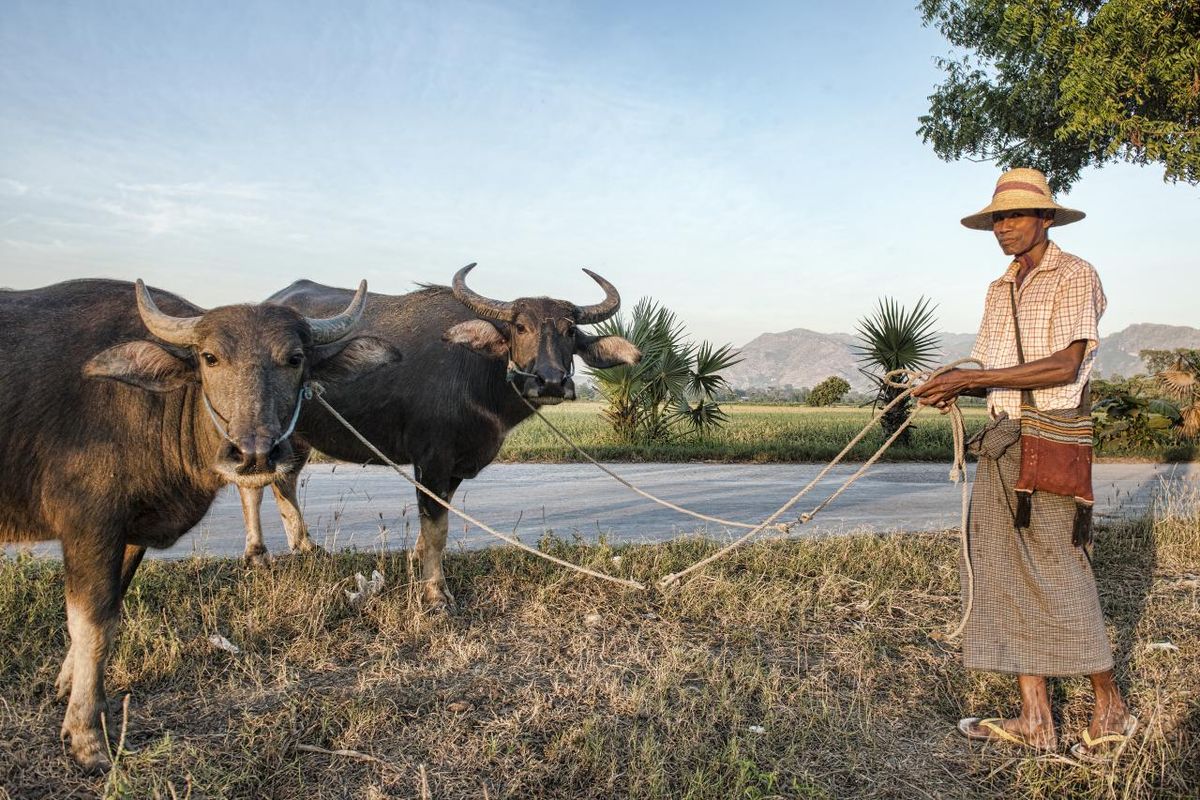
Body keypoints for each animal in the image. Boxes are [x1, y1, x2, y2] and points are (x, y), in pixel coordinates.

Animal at [0, 277, 400, 767]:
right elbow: (91, 623)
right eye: (210, 358)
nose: (254, 454)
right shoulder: (89, 523)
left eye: (294, 358)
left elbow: (108, 614)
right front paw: (87, 736)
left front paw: (68, 687)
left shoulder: (130, 533)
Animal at [237, 262, 643, 606]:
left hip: (299, 435)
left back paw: (306, 546)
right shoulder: (430, 460)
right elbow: (437, 527)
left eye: (569, 330)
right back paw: (257, 555)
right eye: (520, 327)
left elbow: (437, 523)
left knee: (284, 481)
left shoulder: (455, 466)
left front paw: (416, 561)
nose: (552, 381)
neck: (477, 371)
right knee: (251, 482)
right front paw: (435, 594)